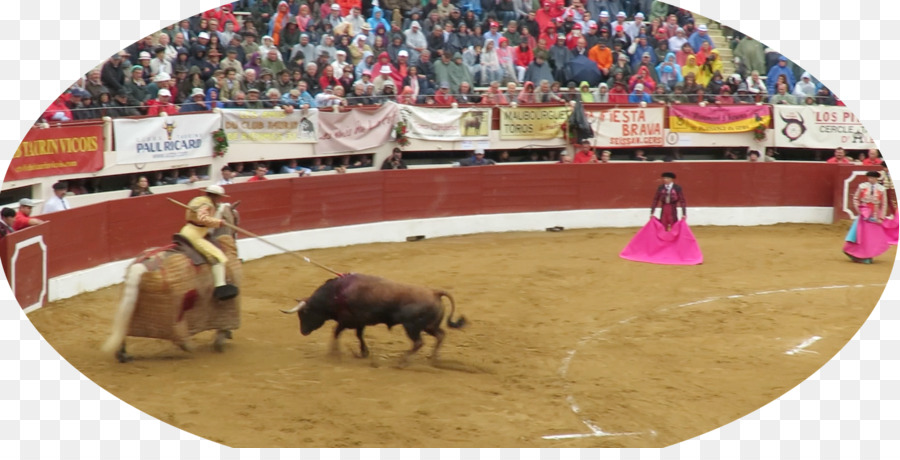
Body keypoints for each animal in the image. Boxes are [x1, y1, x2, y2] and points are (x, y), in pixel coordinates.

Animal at [103, 201, 243, 362]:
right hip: (177, 312)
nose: (236, 235)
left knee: (124, 324)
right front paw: (221, 341)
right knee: (180, 335)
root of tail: (142, 264)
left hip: (132, 302)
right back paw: (189, 347)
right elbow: (225, 324)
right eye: (237, 217)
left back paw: (123, 354)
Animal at [280, 274, 464, 362]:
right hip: (429, 326)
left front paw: (334, 353)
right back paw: (433, 358)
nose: (303, 332)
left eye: (304, 313)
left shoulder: (347, 321)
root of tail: (435, 292)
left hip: (412, 327)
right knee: (440, 335)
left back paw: (403, 361)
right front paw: (363, 352)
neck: (336, 293)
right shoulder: (359, 322)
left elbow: (336, 332)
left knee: (419, 342)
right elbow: (359, 335)